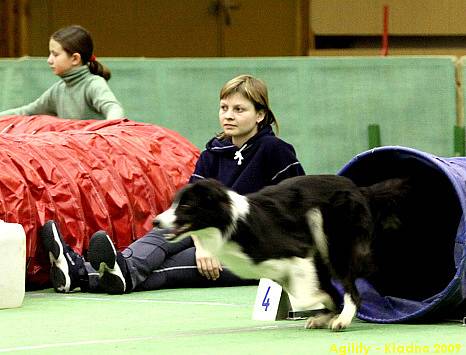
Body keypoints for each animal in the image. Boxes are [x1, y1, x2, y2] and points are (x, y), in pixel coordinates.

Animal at [154, 177, 408, 332]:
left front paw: (327, 308)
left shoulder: (299, 252)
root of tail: (360, 189)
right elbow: (311, 291)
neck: (232, 223)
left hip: (329, 236)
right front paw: (327, 310)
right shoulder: (280, 269)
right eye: (174, 203)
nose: (156, 222)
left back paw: (342, 319)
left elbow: (306, 295)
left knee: (352, 287)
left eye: (186, 207)